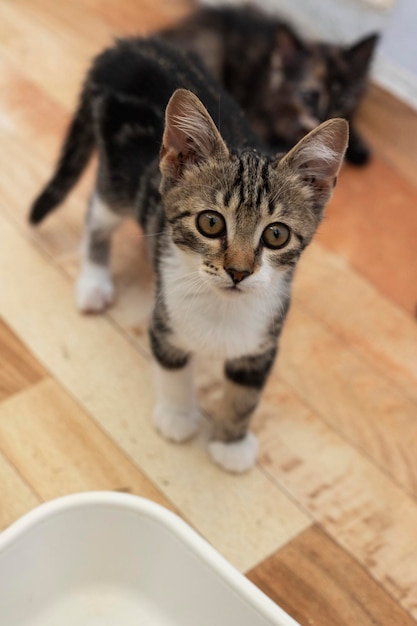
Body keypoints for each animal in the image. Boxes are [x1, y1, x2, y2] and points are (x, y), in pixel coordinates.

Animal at [30, 36, 348, 470]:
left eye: (276, 235)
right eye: (210, 223)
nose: (238, 271)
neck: (222, 307)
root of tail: (124, 46)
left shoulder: (264, 340)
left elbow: (246, 393)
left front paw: (231, 443)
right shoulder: (164, 319)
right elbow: (173, 367)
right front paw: (178, 417)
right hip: (118, 178)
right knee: (98, 211)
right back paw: (93, 282)